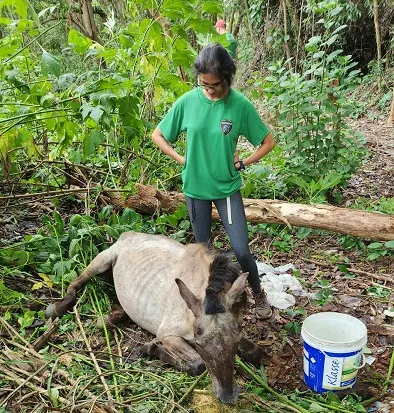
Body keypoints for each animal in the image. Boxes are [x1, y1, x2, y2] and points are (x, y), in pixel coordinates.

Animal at [44, 230, 264, 404]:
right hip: (101, 259)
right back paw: (57, 308)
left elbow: (256, 352)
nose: (228, 397)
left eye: (235, 339)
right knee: (75, 283)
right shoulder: (168, 333)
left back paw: (109, 318)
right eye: (200, 344)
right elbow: (197, 364)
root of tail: (127, 235)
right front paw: (150, 348)